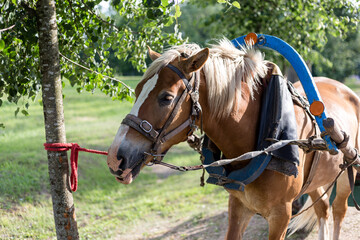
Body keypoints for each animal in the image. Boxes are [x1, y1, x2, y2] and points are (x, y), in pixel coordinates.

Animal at [106, 38, 358, 239]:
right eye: (137, 91)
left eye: (166, 98)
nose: (115, 157)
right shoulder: (238, 205)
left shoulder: (281, 215)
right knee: (323, 208)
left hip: (348, 170)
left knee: (338, 210)